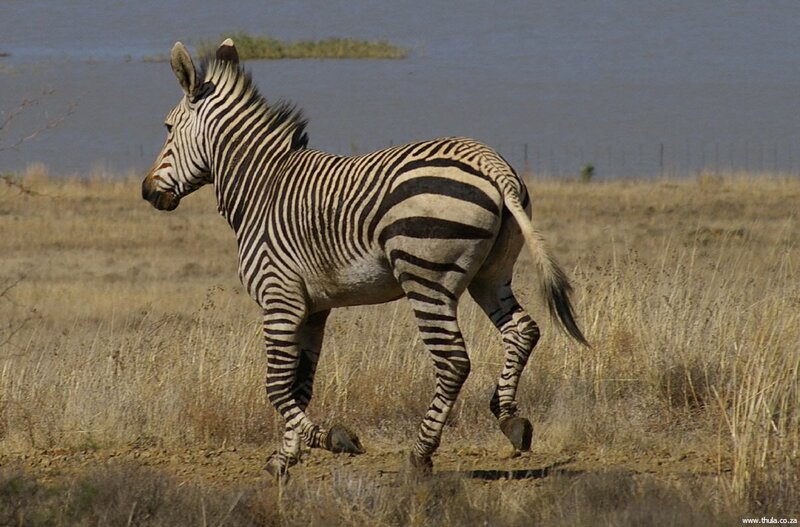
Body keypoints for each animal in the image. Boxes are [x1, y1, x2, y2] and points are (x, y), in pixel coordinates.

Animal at [141, 39, 589, 478]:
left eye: (167, 128)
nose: (147, 192)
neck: (261, 187)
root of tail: (490, 162)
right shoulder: (313, 308)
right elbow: (300, 384)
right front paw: (285, 458)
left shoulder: (279, 298)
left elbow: (276, 386)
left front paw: (330, 438)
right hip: (490, 274)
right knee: (522, 330)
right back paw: (510, 418)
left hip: (425, 278)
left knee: (453, 362)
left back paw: (421, 454)